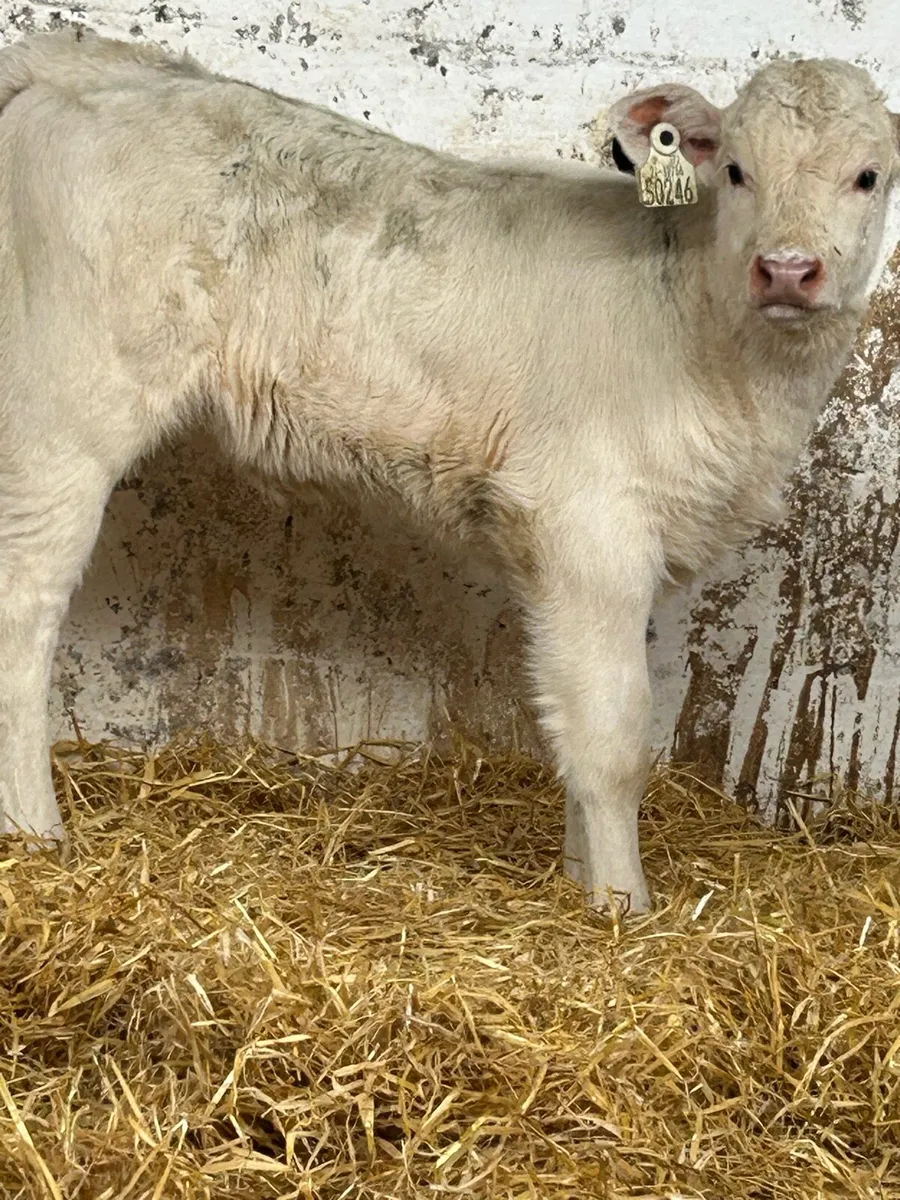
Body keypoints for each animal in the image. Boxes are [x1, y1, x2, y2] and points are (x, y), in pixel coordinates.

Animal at [0, 29, 896, 913]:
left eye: (869, 175)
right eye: (738, 169)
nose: (787, 269)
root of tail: (82, 65)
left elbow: (568, 715)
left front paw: (580, 880)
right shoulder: (589, 525)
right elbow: (613, 738)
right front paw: (622, 908)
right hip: (64, 412)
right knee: (23, 607)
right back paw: (36, 834)